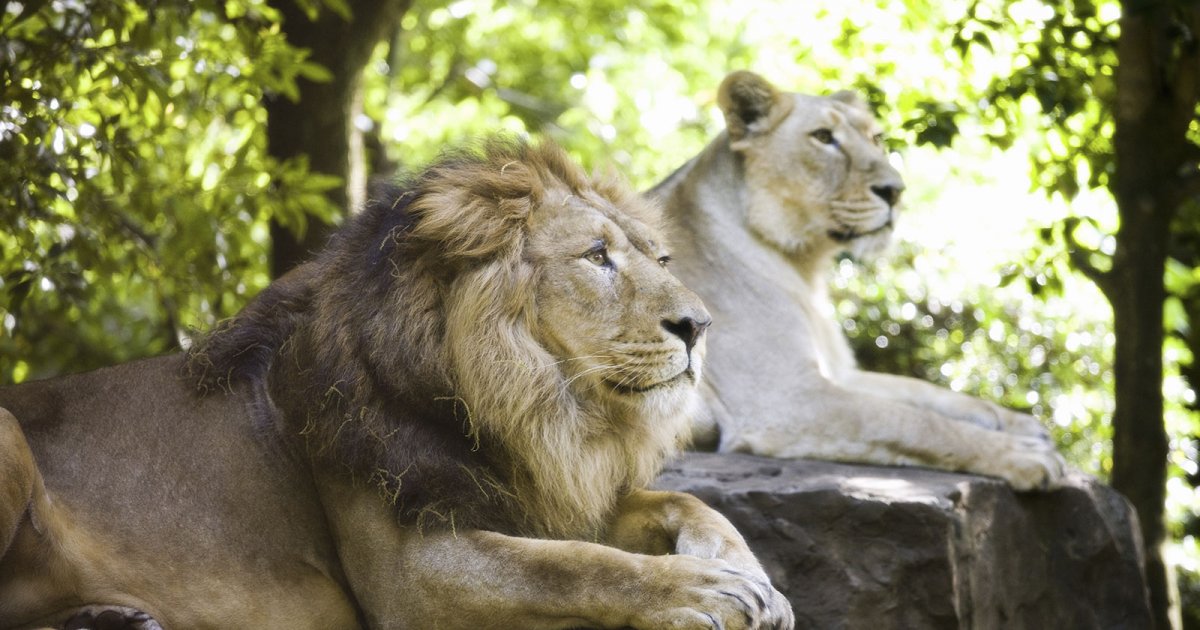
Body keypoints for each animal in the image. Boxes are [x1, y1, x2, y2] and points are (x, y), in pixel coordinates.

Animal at [2, 139, 796, 624]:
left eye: (659, 259)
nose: (700, 325)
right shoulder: (407, 578)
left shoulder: (529, 492)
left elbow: (683, 503)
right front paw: (704, 590)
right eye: (596, 256)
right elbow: (575, 566)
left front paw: (754, 577)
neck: (522, 408)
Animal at [652, 69, 1065, 492]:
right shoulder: (785, 398)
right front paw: (1024, 455)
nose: (895, 191)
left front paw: (1019, 424)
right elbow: (916, 422)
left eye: (876, 138)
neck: (804, 266)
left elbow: (922, 392)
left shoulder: (836, 372)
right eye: (823, 137)